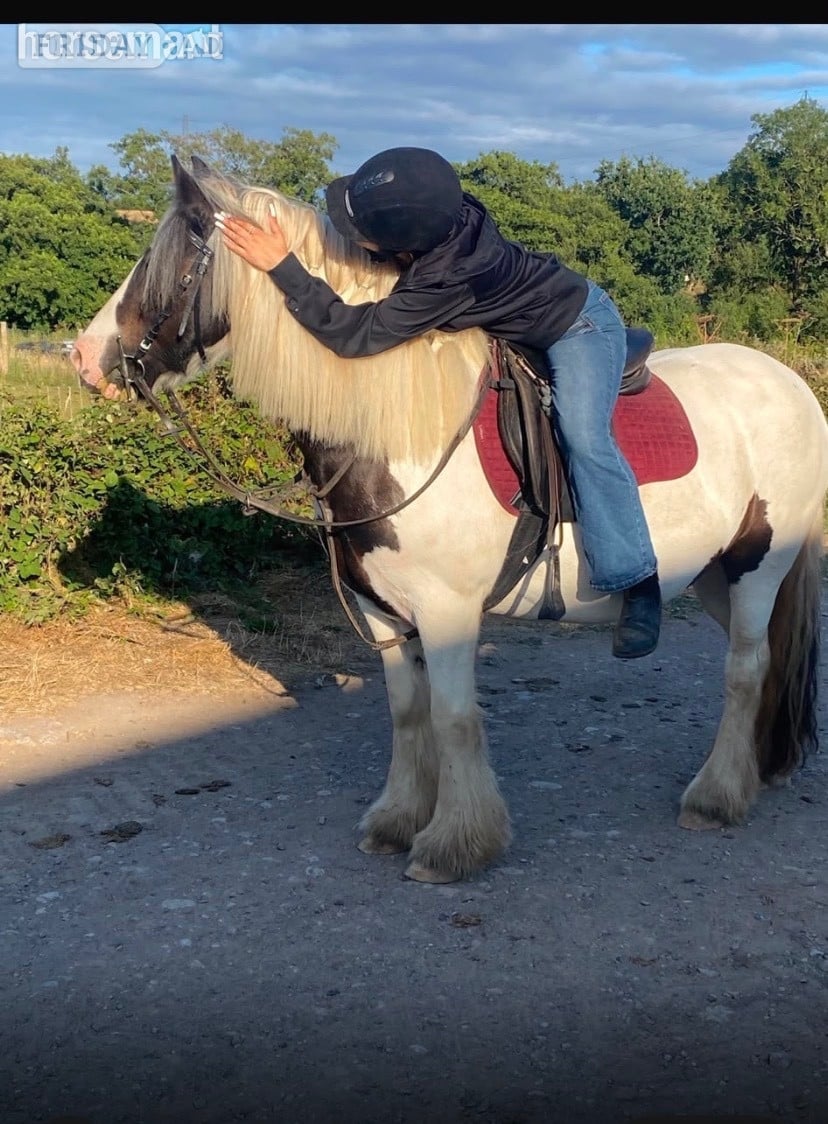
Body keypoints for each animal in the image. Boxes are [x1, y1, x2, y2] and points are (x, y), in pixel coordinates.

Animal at [71, 155, 828, 884]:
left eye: (163, 262)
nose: (82, 358)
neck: (397, 433)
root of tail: (789, 382)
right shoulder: (381, 612)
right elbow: (409, 714)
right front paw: (398, 819)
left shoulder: (447, 611)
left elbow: (453, 717)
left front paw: (455, 844)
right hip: (713, 575)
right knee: (762, 659)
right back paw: (759, 767)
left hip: (760, 565)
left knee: (745, 668)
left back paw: (716, 796)